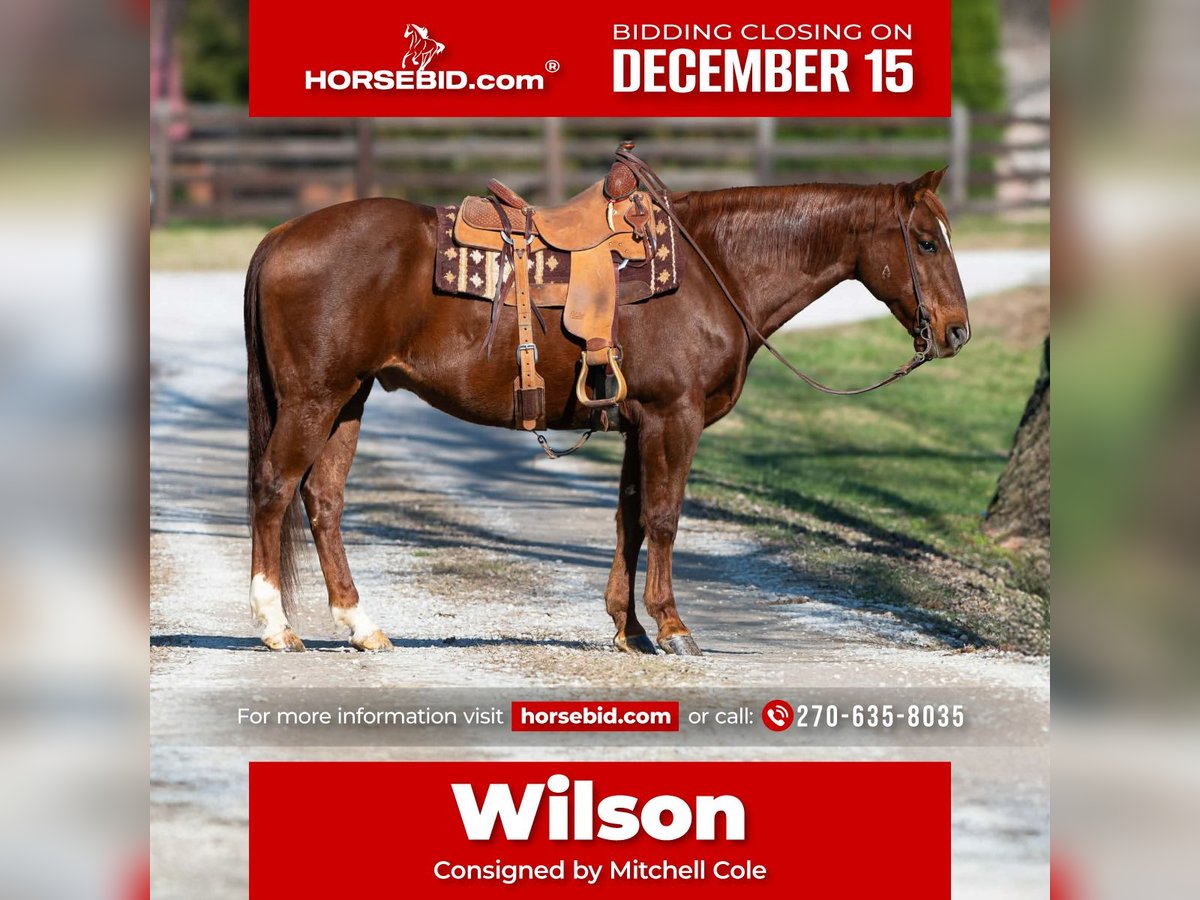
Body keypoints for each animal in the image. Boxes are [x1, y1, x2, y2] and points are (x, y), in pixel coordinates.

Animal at [243, 167, 970, 655]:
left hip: (349, 398)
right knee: (275, 488)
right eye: (927, 243)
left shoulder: (637, 424)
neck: (714, 270)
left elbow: (629, 520)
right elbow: (664, 518)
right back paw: (277, 626)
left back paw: (361, 626)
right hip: (315, 398)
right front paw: (673, 626)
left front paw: (629, 628)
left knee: (324, 500)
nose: (958, 331)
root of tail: (279, 236)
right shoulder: (673, 419)